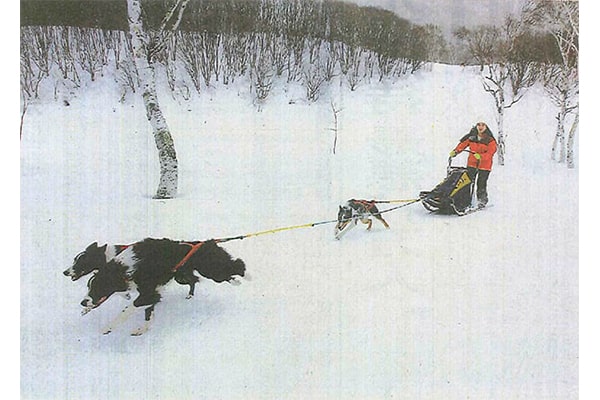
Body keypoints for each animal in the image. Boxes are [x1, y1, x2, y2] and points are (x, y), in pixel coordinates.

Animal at [64, 239, 245, 336]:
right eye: (89, 287)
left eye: (98, 288)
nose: (65, 272)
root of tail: (202, 242)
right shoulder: (150, 291)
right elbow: (147, 311)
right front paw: (142, 329)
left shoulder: (148, 292)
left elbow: (128, 309)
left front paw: (108, 327)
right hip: (182, 276)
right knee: (194, 280)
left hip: (210, 269)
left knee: (234, 266)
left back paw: (241, 278)